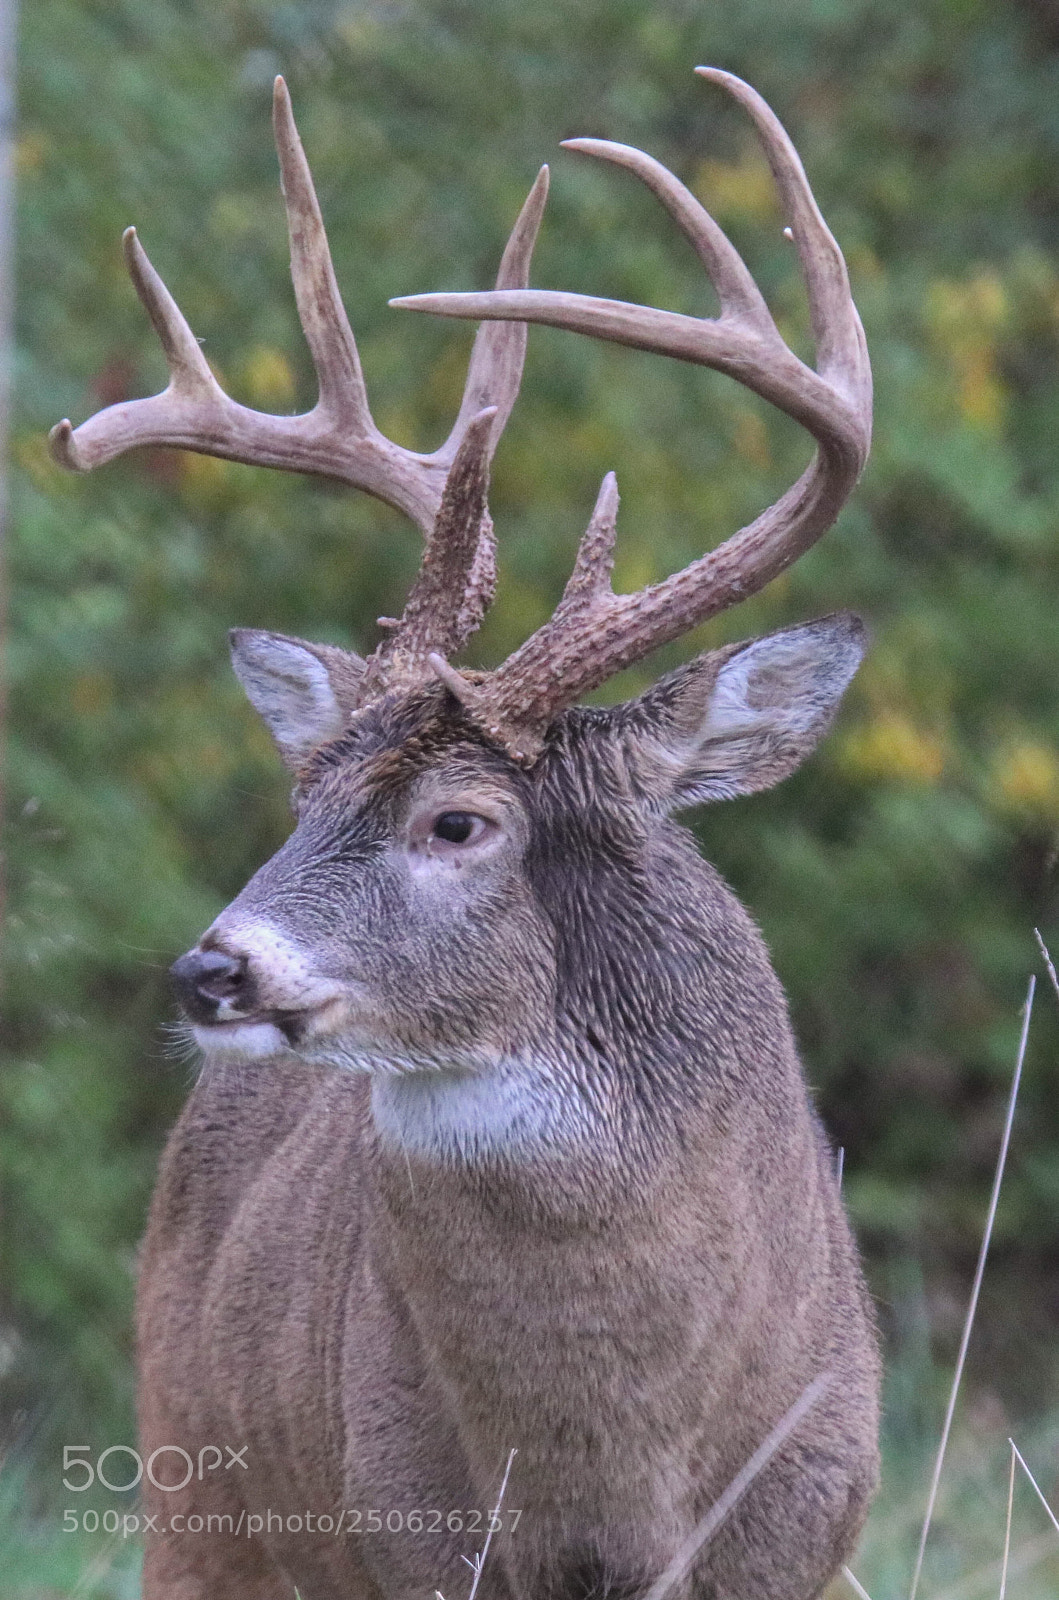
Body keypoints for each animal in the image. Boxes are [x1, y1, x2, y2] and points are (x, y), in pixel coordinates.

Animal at [51, 65, 880, 1600]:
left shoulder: (804, 1530)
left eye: (458, 819)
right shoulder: (412, 1534)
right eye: (305, 793)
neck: (614, 1483)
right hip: (194, 1494)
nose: (214, 971)